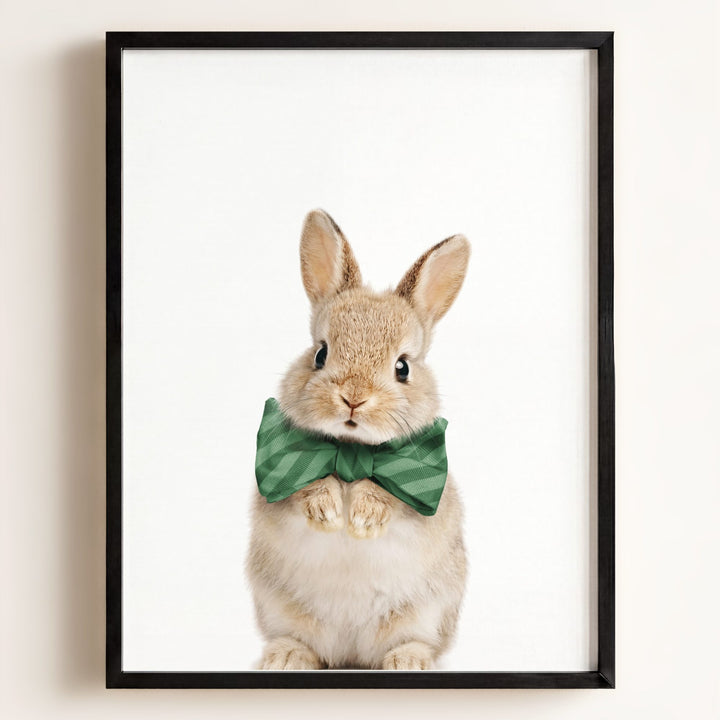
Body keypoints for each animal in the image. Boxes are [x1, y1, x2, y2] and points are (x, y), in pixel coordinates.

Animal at [246, 209, 470, 670]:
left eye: (403, 367)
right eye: (320, 354)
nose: (353, 397)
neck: (350, 452)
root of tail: (350, 654)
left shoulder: (423, 493)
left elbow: (393, 498)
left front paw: (363, 519)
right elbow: (304, 487)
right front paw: (329, 513)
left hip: (426, 613)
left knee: (413, 642)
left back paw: (409, 661)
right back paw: (285, 657)